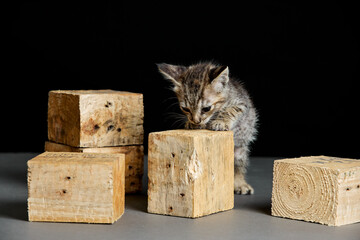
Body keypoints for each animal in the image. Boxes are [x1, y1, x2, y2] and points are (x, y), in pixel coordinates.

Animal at [159, 61, 258, 194]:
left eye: (206, 108)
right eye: (185, 109)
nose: (196, 120)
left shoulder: (242, 103)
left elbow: (230, 110)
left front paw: (220, 122)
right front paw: (191, 123)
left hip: (240, 151)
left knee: (238, 167)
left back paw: (239, 183)